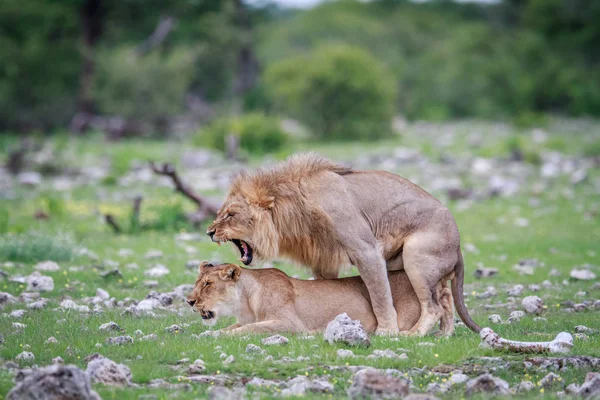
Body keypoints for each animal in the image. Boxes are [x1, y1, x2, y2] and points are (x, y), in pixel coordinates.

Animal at [188, 260, 454, 336]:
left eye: (208, 284)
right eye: (197, 282)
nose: (189, 301)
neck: (245, 302)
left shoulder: (289, 324)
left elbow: (248, 329)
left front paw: (221, 336)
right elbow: (233, 327)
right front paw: (208, 334)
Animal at [209, 152, 480, 334]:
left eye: (230, 214)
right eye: (221, 212)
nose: (209, 232)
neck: (295, 209)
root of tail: (458, 246)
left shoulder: (366, 249)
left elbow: (380, 295)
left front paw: (386, 332)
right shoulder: (323, 259)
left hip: (416, 256)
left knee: (433, 306)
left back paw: (413, 334)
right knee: (445, 297)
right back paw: (444, 334)